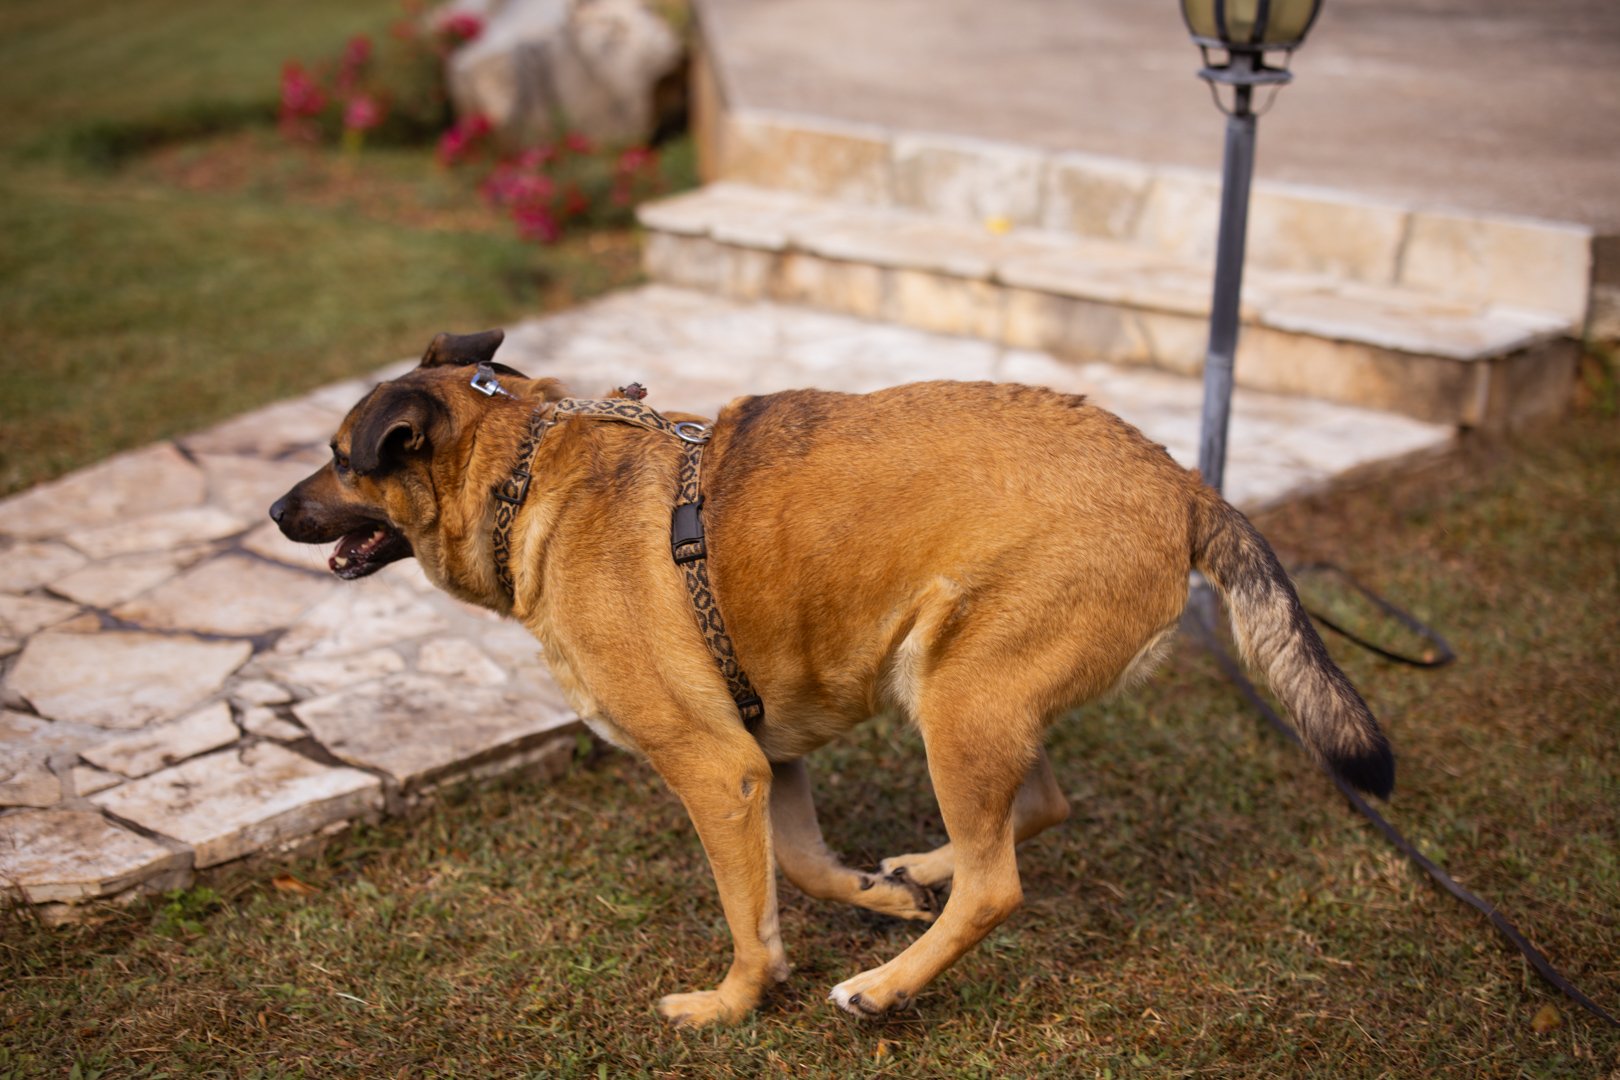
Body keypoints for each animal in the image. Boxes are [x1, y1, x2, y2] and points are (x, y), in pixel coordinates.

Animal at [270, 329, 1393, 1027]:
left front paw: (731, 1004)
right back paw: (922, 878)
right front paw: (868, 895)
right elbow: (800, 868)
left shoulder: (714, 768)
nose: (276, 512)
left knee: (998, 883)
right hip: (961, 688)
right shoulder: (763, 759)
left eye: (339, 457)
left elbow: (747, 915)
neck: (527, 470)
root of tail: (1180, 479)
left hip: (960, 697)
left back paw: (885, 989)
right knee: (1035, 810)